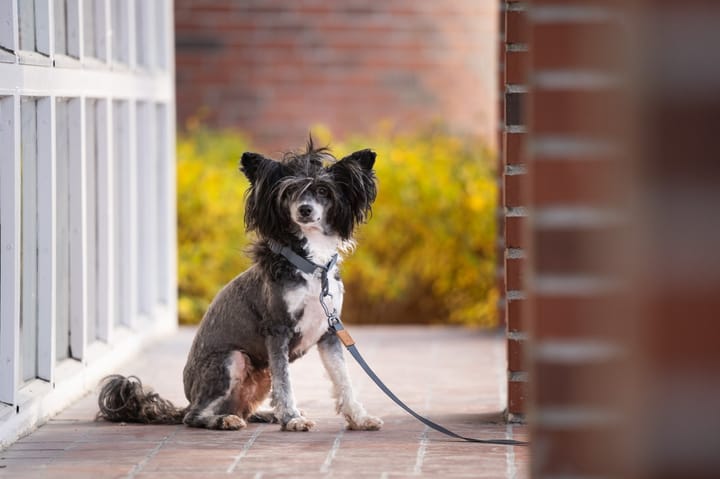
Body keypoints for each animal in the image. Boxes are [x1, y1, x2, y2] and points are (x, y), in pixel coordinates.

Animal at [98, 139, 386, 436]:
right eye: (290, 191)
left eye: (322, 191)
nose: (304, 209)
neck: (310, 265)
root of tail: (188, 399)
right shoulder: (277, 330)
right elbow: (285, 383)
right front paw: (292, 419)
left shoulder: (329, 332)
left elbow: (343, 378)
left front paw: (359, 418)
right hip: (233, 359)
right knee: (196, 416)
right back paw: (224, 420)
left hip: (260, 373)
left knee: (243, 407)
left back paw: (265, 414)